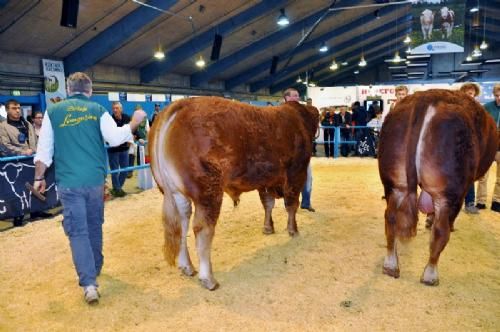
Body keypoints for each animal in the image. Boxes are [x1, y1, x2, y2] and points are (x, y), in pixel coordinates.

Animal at [148, 96, 318, 290]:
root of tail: (179, 105)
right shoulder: (296, 172)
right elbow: (291, 204)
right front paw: (293, 230)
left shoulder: (266, 178)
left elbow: (268, 203)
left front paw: (268, 227)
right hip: (208, 191)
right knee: (202, 229)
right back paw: (208, 278)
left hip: (176, 193)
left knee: (182, 225)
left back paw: (187, 266)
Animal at [378, 89, 496, 286]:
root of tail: (427, 97)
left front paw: (427, 221)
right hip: (449, 190)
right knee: (441, 230)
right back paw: (430, 274)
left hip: (395, 183)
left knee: (391, 218)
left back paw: (391, 265)